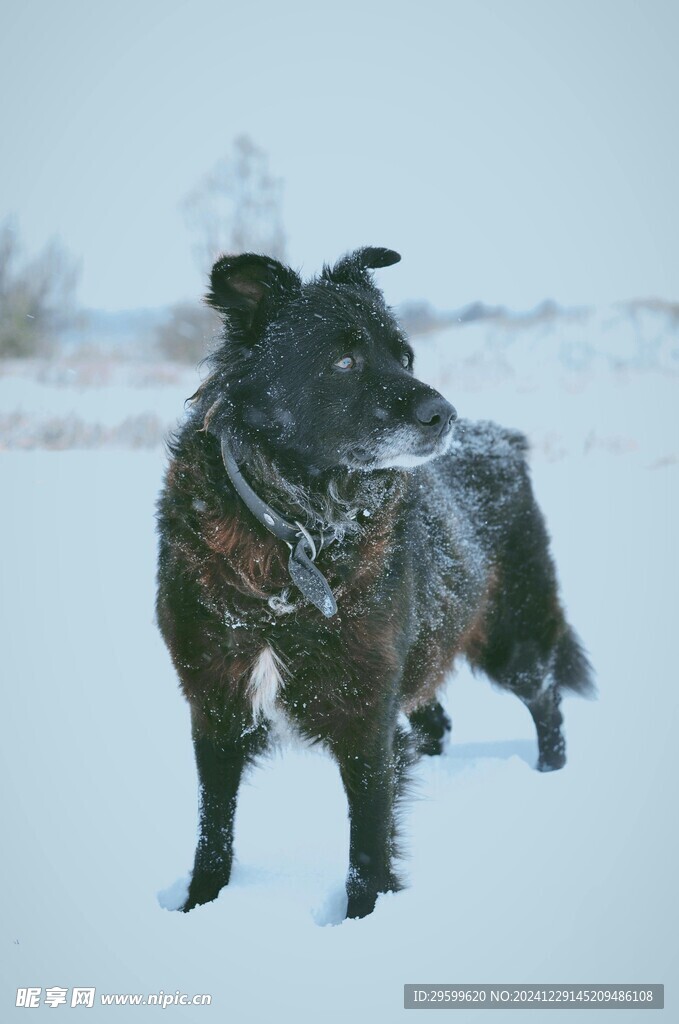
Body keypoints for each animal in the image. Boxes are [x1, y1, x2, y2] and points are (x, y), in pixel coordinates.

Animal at [156, 245, 593, 921]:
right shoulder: (217, 704)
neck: (296, 533)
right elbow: (214, 828)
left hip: (508, 636)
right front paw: (200, 906)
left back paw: (550, 773)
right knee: (436, 721)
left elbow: (368, 841)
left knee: (546, 697)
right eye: (343, 360)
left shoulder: (365, 711)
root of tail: (503, 438)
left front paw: (362, 921)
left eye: (404, 357)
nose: (444, 414)